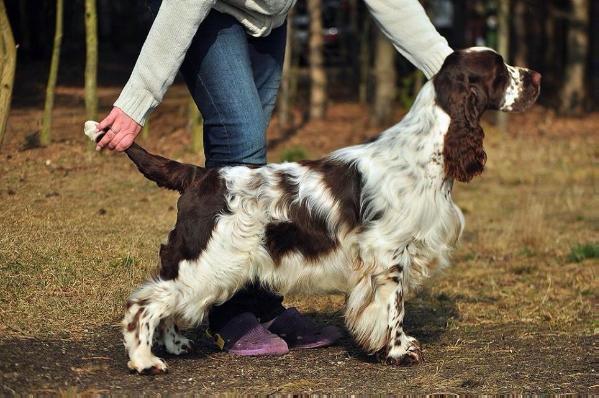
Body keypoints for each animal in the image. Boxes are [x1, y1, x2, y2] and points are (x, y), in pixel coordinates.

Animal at [83, 46, 540, 374]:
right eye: (500, 71)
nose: (536, 77)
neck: (427, 149)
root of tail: (199, 176)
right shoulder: (388, 251)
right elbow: (392, 307)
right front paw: (397, 352)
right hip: (210, 260)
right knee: (143, 304)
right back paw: (145, 361)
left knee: (167, 301)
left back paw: (176, 345)